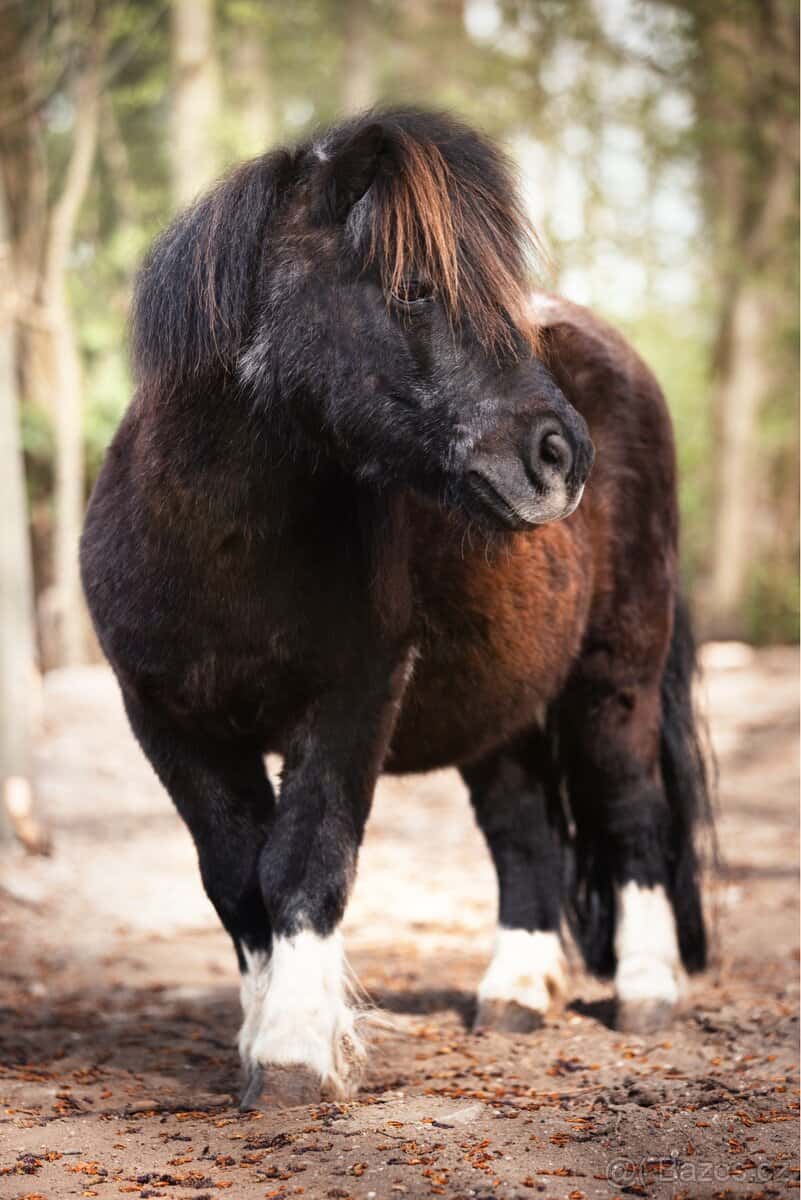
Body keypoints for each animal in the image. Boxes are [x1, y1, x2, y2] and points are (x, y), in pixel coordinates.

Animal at [80, 107, 710, 1109]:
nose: (560, 455)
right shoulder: (168, 722)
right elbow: (235, 878)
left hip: (617, 675)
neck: (220, 548)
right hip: (501, 710)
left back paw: (647, 994)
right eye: (415, 289)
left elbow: (303, 862)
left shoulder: (350, 701)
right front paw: (261, 1037)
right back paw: (515, 994)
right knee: (524, 836)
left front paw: (295, 1054)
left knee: (629, 809)